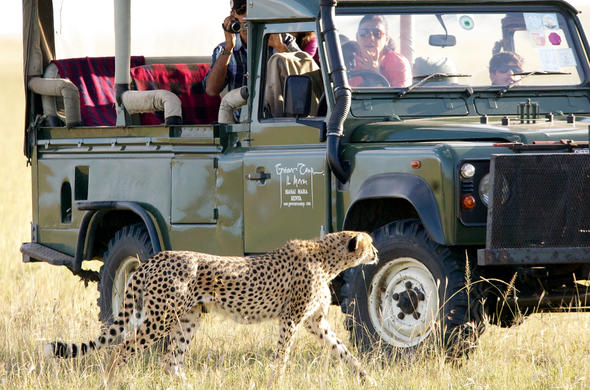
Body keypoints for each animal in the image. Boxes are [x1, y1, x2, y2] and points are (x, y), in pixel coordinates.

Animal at [45, 230, 380, 386]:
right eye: (370, 243)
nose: (377, 253)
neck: (328, 258)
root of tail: (153, 259)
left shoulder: (314, 321)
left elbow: (343, 350)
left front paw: (367, 377)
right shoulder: (291, 319)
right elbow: (282, 356)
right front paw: (276, 382)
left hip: (186, 319)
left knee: (170, 361)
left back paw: (188, 385)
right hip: (159, 318)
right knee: (124, 346)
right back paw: (110, 382)